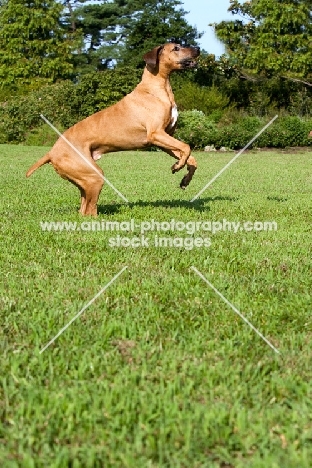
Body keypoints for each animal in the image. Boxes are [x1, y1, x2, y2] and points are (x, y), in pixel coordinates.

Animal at [26, 43, 200, 215]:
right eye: (176, 48)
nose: (198, 49)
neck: (157, 89)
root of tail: (51, 152)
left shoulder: (163, 139)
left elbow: (190, 157)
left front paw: (185, 178)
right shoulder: (156, 134)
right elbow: (187, 147)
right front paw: (178, 166)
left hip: (84, 179)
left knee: (84, 209)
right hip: (94, 176)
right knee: (90, 210)